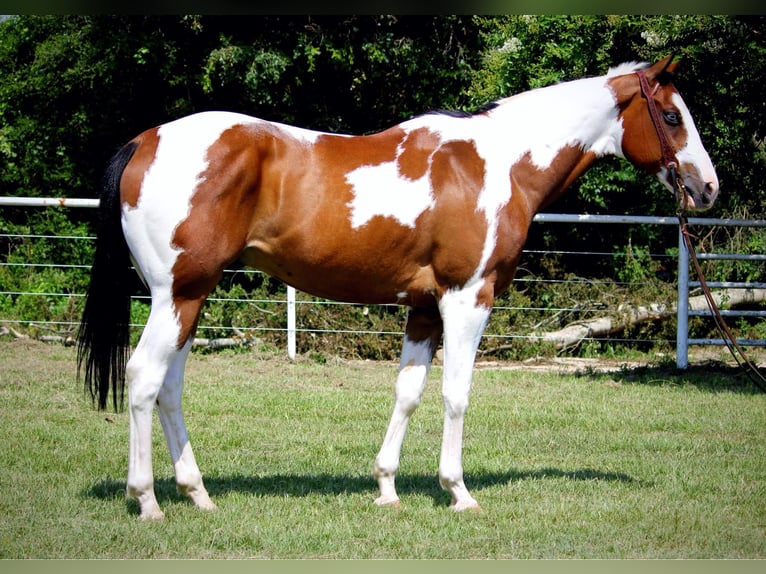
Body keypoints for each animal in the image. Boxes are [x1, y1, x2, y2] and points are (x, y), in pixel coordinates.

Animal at [77, 55, 719, 520]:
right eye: (672, 117)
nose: (708, 188)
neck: (501, 162)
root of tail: (145, 141)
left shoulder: (425, 308)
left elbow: (407, 392)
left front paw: (387, 488)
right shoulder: (468, 297)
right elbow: (456, 394)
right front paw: (458, 492)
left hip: (190, 299)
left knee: (169, 388)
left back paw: (198, 494)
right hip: (178, 295)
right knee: (143, 379)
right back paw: (149, 502)